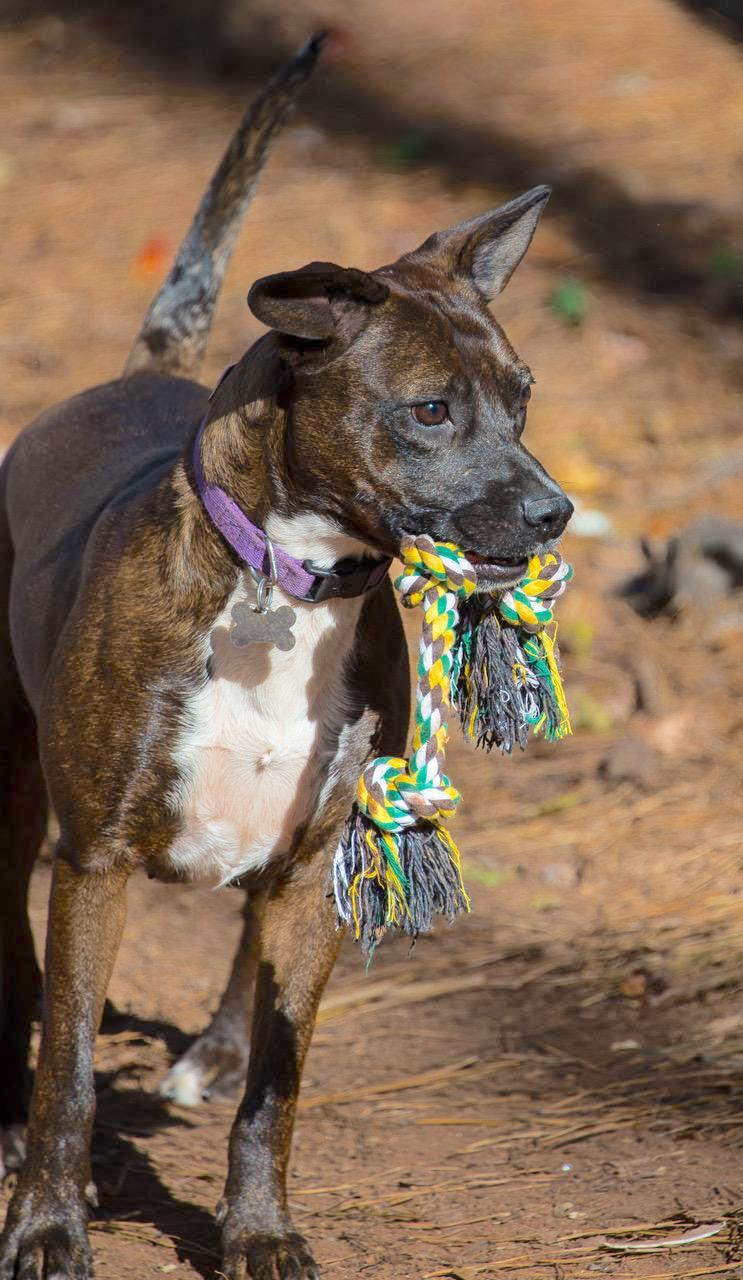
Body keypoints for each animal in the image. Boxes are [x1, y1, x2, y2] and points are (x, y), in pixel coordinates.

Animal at [0, 32, 571, 1280]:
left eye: (521, 398)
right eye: (428, 409)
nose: (552, 512)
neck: (289, 586)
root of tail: (132, 368)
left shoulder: (319, 866)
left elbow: (281, 1079)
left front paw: (257, 1226)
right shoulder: (95, 862)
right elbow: (67, 1065)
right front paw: (49, 1220)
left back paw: (209, 1050)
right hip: (15, 791)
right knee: (21, 960)